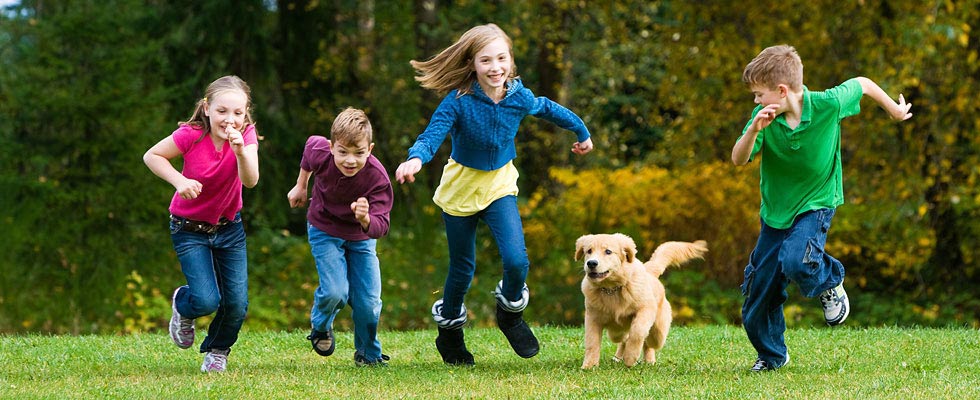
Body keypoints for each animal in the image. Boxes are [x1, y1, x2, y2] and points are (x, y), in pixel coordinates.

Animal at [576, 234, 704, 368]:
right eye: (589, 251)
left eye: (608, 251)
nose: (591, 263)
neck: (611, 289)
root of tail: (650, 272)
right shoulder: (592, 317)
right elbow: (592, 342)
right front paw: (589, 366)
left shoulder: (646, 309)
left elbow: (638, 331)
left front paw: (630, 357)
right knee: (622, 339)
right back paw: (618, 356)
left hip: (659, 332)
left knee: (649, 342)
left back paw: (649, 360)